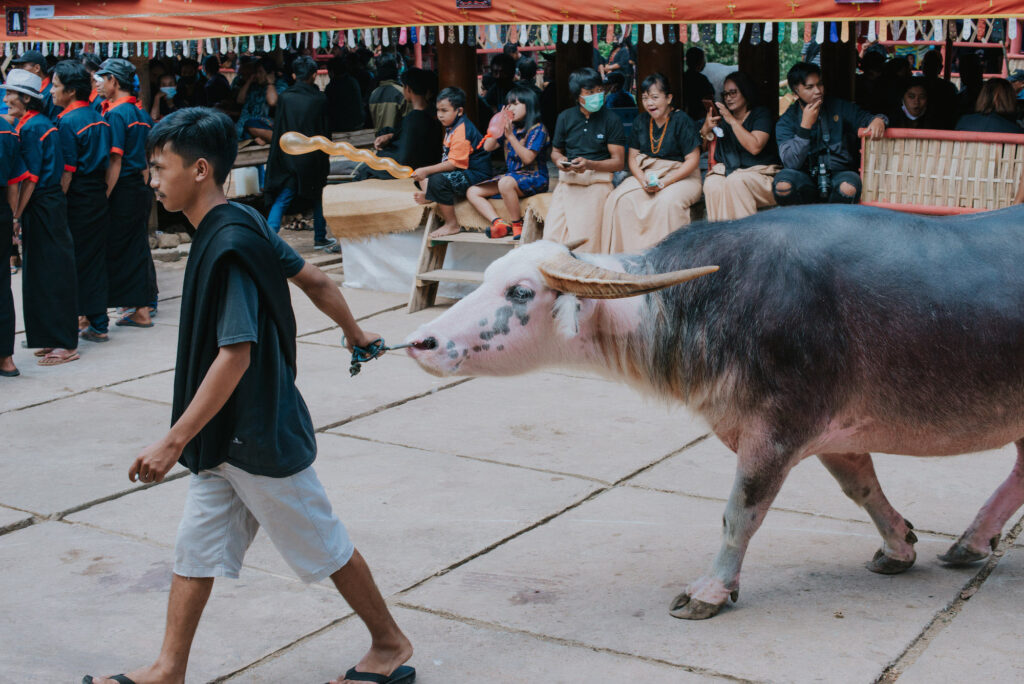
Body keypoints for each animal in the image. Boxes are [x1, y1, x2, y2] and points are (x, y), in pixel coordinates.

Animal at [403, 202, 1024, 618]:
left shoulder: (778, 429)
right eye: (486, 277)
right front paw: (898, 546)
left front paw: (709, 590)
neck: (708, 303)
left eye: (520, 292)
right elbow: (862, 488)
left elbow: (739, 512)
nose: (422, 342)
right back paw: (971, 542)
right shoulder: (834, 432)